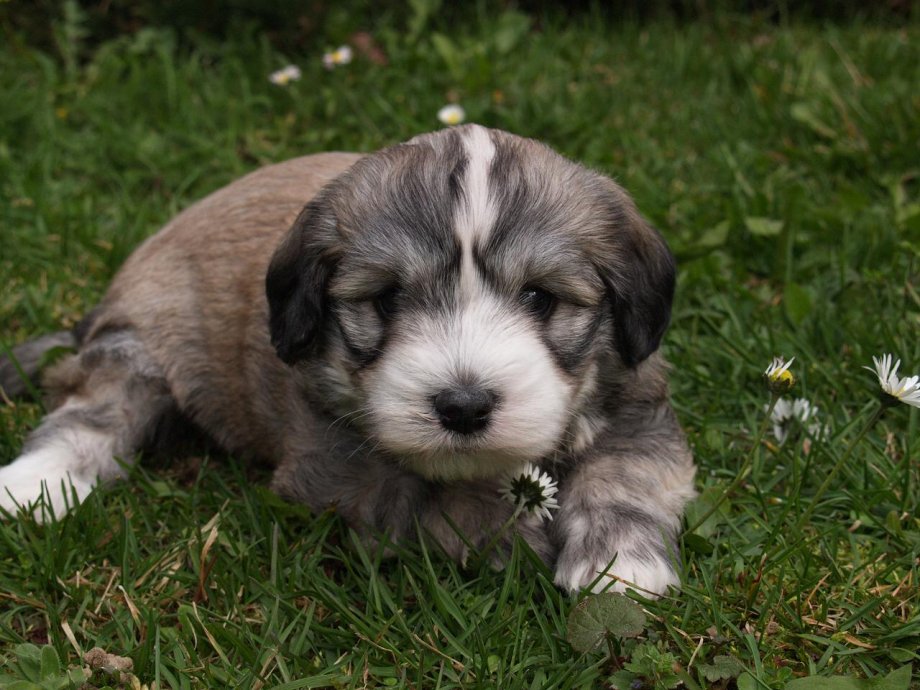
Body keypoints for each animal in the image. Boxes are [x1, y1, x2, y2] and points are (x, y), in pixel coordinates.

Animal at [0, 126, 688, 592]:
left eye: (540, 297)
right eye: (386, 299)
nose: (463, 407)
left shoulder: (639, 408)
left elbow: (625, 472)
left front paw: (620, 565)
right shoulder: (340, 473)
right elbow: (440, 508)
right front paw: (516, 536)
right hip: (142, 345)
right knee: (96, 412)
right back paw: (32, 485)